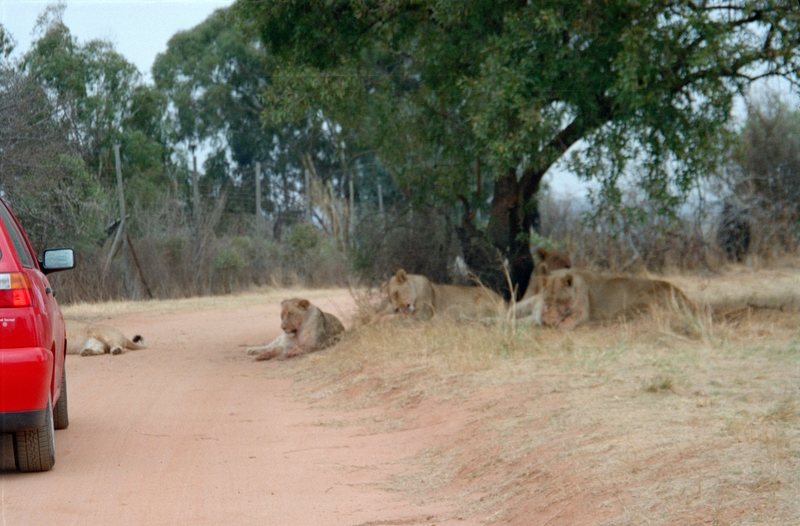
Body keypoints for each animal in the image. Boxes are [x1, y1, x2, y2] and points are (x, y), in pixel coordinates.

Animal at [536, 270, 692, 332]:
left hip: (641, 301)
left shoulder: (584, 312)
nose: (548, 318)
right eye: (546, 299)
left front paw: (562, 326)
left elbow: (572, 319)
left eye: (560, 300)